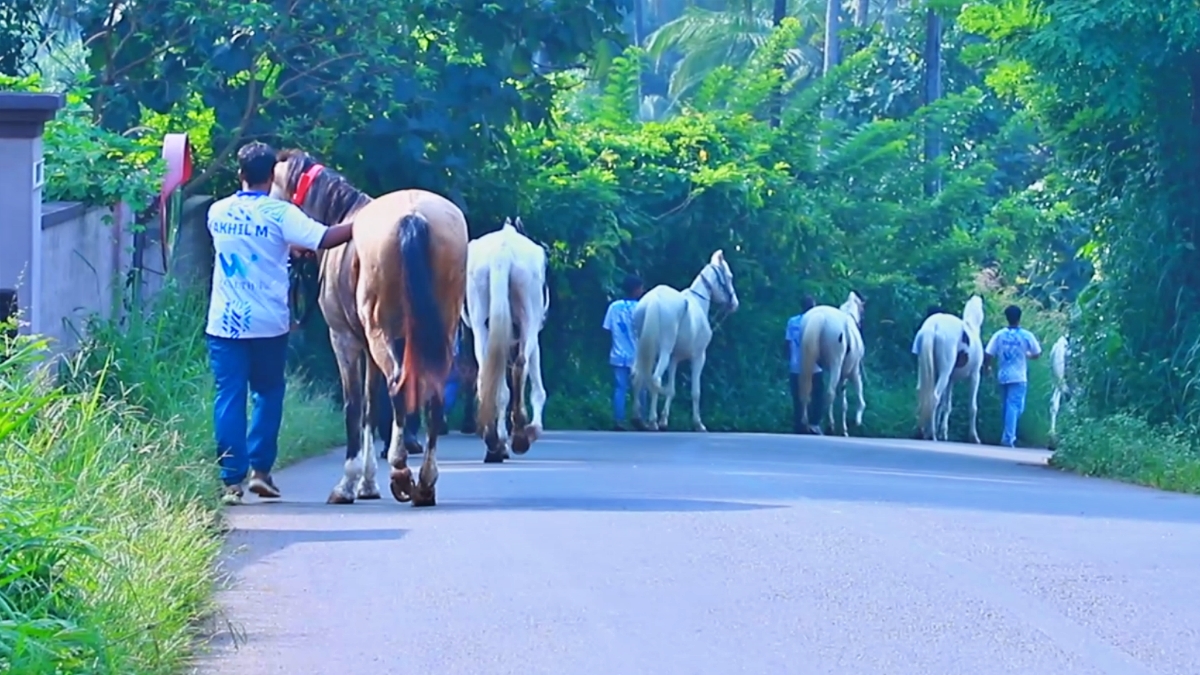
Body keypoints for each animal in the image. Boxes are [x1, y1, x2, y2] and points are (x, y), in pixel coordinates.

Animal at [273, 148, 468, 504]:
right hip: (439, 333)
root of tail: (413, 217)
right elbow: (370, 406)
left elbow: (354, 407)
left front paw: (348, 484)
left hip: (382, 334)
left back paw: (401, 470)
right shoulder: (368, 347)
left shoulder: (345, 341)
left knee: (399, 388)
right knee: (432, 393)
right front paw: (366, 483)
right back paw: (425, 482)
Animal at [460, 214, 549, 461]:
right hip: (529, 321)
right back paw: (519, 435)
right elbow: (537, 389)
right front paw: (533, 429)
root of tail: (502, 253)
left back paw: (493, 442)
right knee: (520, 366)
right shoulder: (533, 339)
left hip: (481, 323)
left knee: (487, 377)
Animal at [633, 248, 734, 429]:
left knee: (638, 377)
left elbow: (671, 390)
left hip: (643, 350)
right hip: (663, 352)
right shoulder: (699, 357)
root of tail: (654, 298)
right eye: (729, 277)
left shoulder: (675, 358)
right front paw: (698, 424)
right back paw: (652, 421)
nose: (734, 304)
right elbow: (695, 392)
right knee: (655, 379)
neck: (699, 302)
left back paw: (638, 419)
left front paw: (664, 419)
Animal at [801, 291, 868, 432]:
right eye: (863, 311)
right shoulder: (852, 371)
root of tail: (821, 317)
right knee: (829, 393)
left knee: (805, 390)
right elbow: (853, 395)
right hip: (836, 364)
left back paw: (806, 423)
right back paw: (828, 425)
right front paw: (853, 423)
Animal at [916, 294, 984, 441]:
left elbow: (946, 406)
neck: (971, 327)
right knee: (934, 398)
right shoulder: (975, 376)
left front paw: (943, 432)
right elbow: (972, 407)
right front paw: (974, 436)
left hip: (928, 370)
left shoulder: (951, 380)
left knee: (923, 395)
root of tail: (933, 325)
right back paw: (932, 435)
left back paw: (922, 431)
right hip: (944, 373)